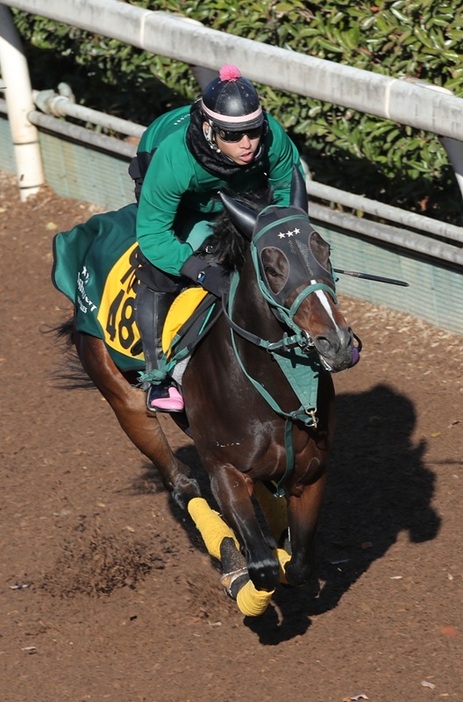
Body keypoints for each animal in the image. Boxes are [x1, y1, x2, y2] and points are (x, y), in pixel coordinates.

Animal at [52, 168, 360, 612]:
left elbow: (299, 565)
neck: (274, 391)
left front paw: (280, 553)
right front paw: (242, 579)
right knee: (182, 485)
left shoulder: (312, 472)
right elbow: (264, 568)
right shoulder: (224, 471)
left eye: (325, 248)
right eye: (271, 266)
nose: (335, 342)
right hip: (124, 400)